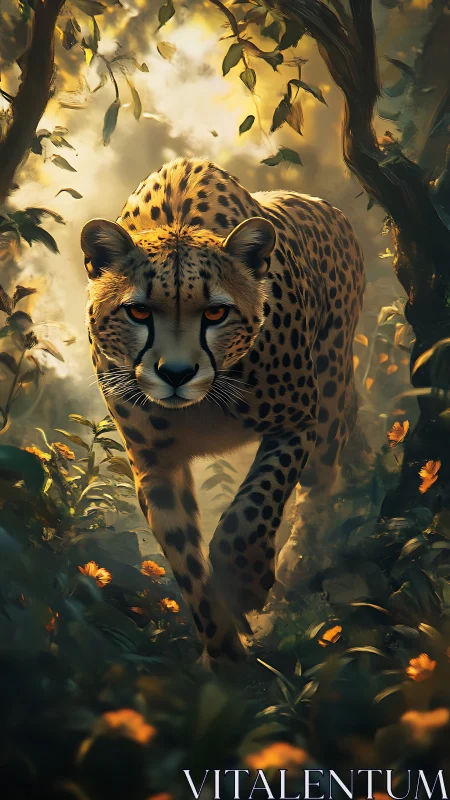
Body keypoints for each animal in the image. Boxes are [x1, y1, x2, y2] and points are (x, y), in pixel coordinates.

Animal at [81, 156, 365, 660]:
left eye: (216, 313)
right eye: (138, 312)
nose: (176, 374)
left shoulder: (298, 421)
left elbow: (254, 505)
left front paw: (244, 580)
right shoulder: (155, 465)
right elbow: (187, 563)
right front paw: (224, 651)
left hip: (330, 396)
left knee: (321, 481)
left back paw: (296, 563)